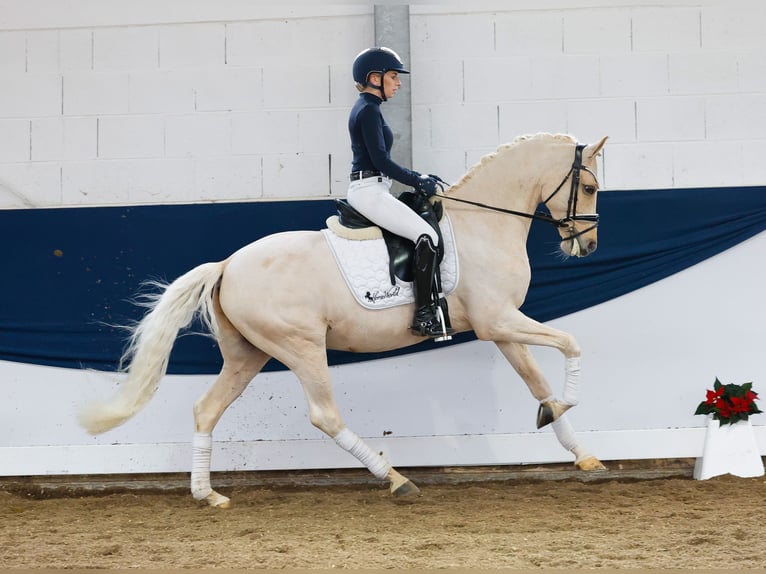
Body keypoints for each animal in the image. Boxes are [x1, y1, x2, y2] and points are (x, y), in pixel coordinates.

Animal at [79, 132, 612, 508]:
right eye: (588, 187)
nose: (586, 246)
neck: (485, 223)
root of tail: (228, 264)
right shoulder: (498, 321)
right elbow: (571, 344)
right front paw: (565, 407)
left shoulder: (500, 326)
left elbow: (537, 381)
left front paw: (577, 446)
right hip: (300, 346)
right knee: (325, 415)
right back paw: (396, 480)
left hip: (247, 355)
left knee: (207, 410)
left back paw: (207, 494)